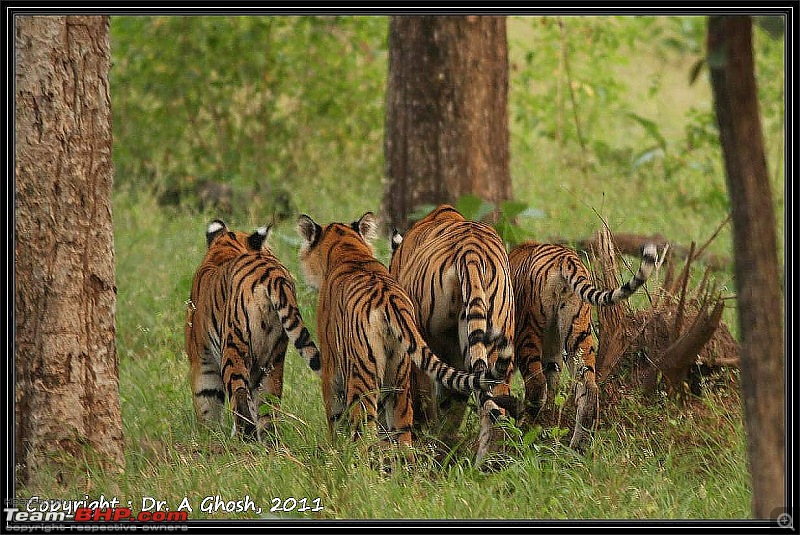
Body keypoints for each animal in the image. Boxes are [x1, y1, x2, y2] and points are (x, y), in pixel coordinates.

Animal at [185, 220, 322, 442]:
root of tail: (273, 276)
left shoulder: (201, 360)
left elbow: (206, 401)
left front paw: (208, 437)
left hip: (234, 345)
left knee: (239, 395)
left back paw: (244, 439)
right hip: (274, 358)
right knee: (268, 404)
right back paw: (266, 441)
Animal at [294, 211, 506, 454]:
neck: (348, 248)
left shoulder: (332, 368)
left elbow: (335, 418)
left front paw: (335, 450)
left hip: (365, 377)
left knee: (366, 430)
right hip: (406, 377)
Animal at [390, 205, 520, 464]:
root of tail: (471, 252)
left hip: (424, 343)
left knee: (428, 403)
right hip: (493, 345)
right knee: (493, 411)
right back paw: (484, 465)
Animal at [510, 241, 660, 450]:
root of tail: (564, 257)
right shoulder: (553, 352)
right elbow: (553, 380)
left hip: (528, 328)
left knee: (536, 383)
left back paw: (523, 428)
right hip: (578, 330)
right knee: (588, 386)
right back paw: (578, 444)